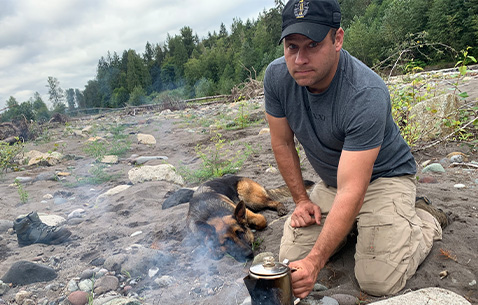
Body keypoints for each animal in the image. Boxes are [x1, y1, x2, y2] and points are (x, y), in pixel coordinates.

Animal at [185, 176, 316, 262]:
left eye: (240, 233)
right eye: (226, 242)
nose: (248, 255)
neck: (213, 212)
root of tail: (240, 176)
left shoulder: (247, 213)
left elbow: (261, 221)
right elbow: (205, 242)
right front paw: (213, 250)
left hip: (250, 198)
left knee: (272, 201)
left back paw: (280, 208)